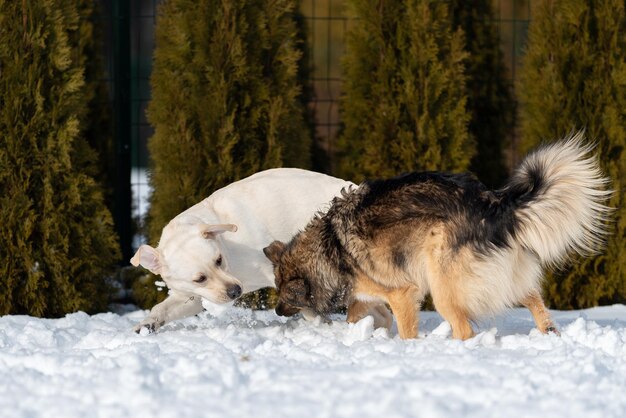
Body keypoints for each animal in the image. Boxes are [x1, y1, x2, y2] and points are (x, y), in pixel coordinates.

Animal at [129, 168, 388, 334]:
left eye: (218, 260)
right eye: (199, 279)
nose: (235, 291)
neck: (230, 249)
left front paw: (321, 325)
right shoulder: (191, 296)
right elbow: (162, 308)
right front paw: (147, 324)